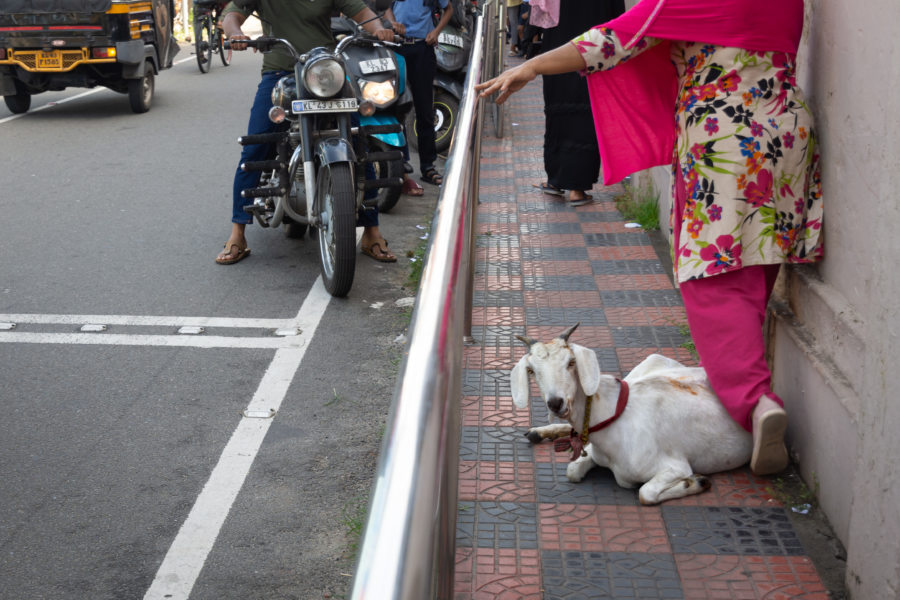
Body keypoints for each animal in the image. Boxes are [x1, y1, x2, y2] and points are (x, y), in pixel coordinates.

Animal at [512, 326, 752, 504]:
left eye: (571, 362)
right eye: (531, 370)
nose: (556, 403)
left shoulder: (676, 466)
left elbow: (646, 493)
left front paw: (695, 482)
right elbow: (572, 470)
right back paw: (538, 432)